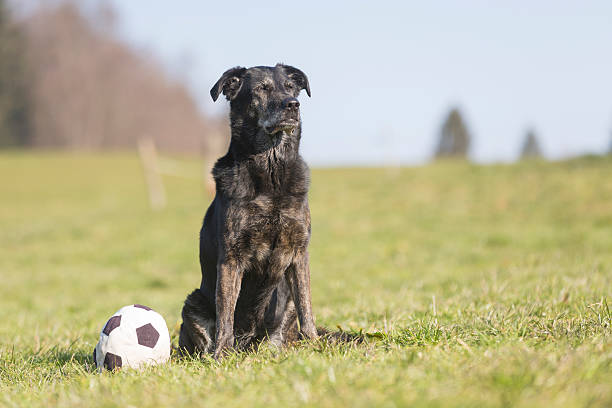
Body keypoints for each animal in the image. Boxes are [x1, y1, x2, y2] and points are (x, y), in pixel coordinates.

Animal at [177, 62, 320, 358]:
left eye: (291, 87)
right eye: (261, 89)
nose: (293, 105)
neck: (271, 172)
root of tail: (248, 345)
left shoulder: (299, 253)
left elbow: (307, 306)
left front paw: (314, 344)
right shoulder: (231, 259)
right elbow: (226, 314)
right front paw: (221, 354)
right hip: (193, 302)